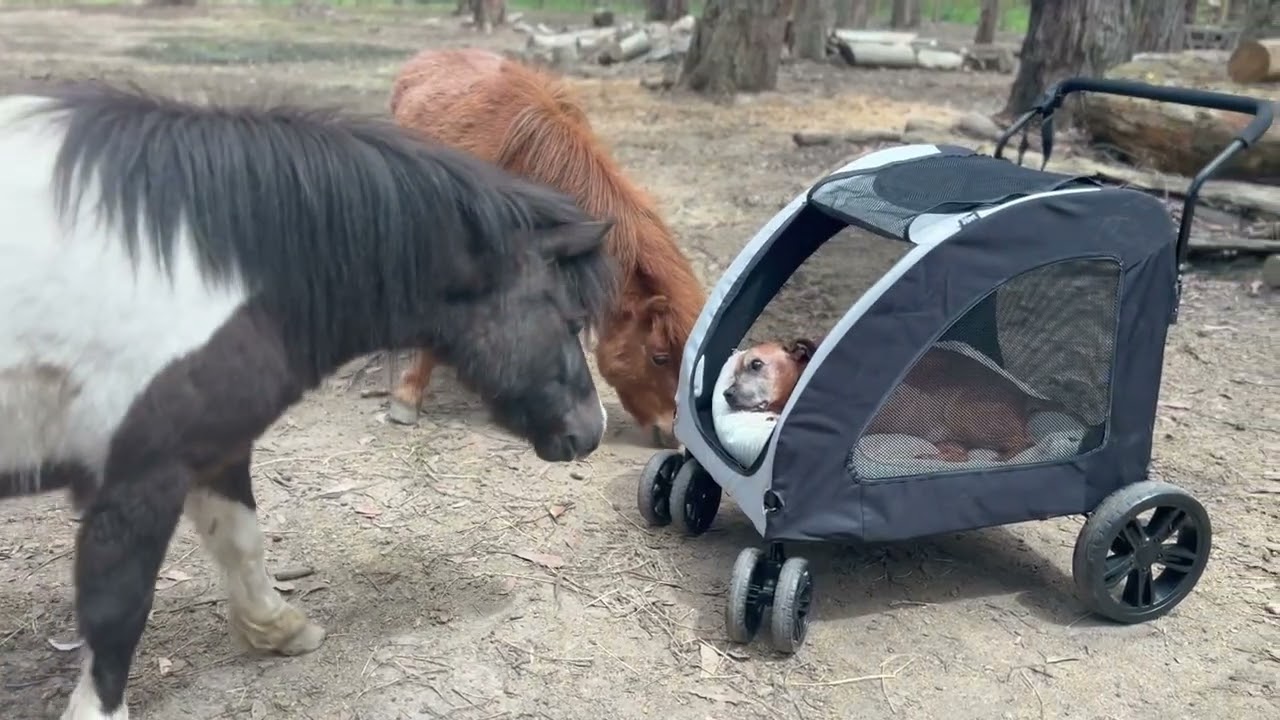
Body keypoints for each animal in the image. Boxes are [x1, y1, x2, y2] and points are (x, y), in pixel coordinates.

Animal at [0, 79, 618, 720]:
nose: (593, 428)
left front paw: (279, 629)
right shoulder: (139, 481)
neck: (206, 271)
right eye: (571, 319)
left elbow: (241, 541)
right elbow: (116, 610)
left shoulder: (213, 449)